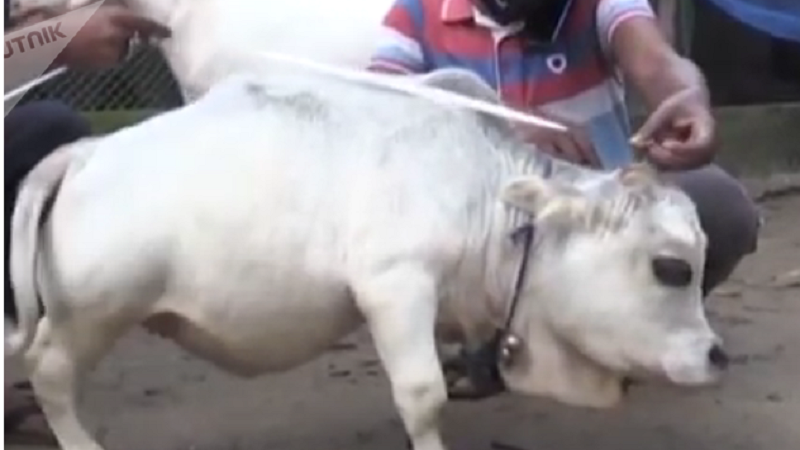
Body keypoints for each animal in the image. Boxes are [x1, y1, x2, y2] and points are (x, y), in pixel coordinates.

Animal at [6, 68, 729, 450]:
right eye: (671, 267)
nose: (717, 356)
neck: (481, 188)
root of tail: (88, 153)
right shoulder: (394, 285)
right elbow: (422, 394)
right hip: (96, 309)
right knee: (49, 372)